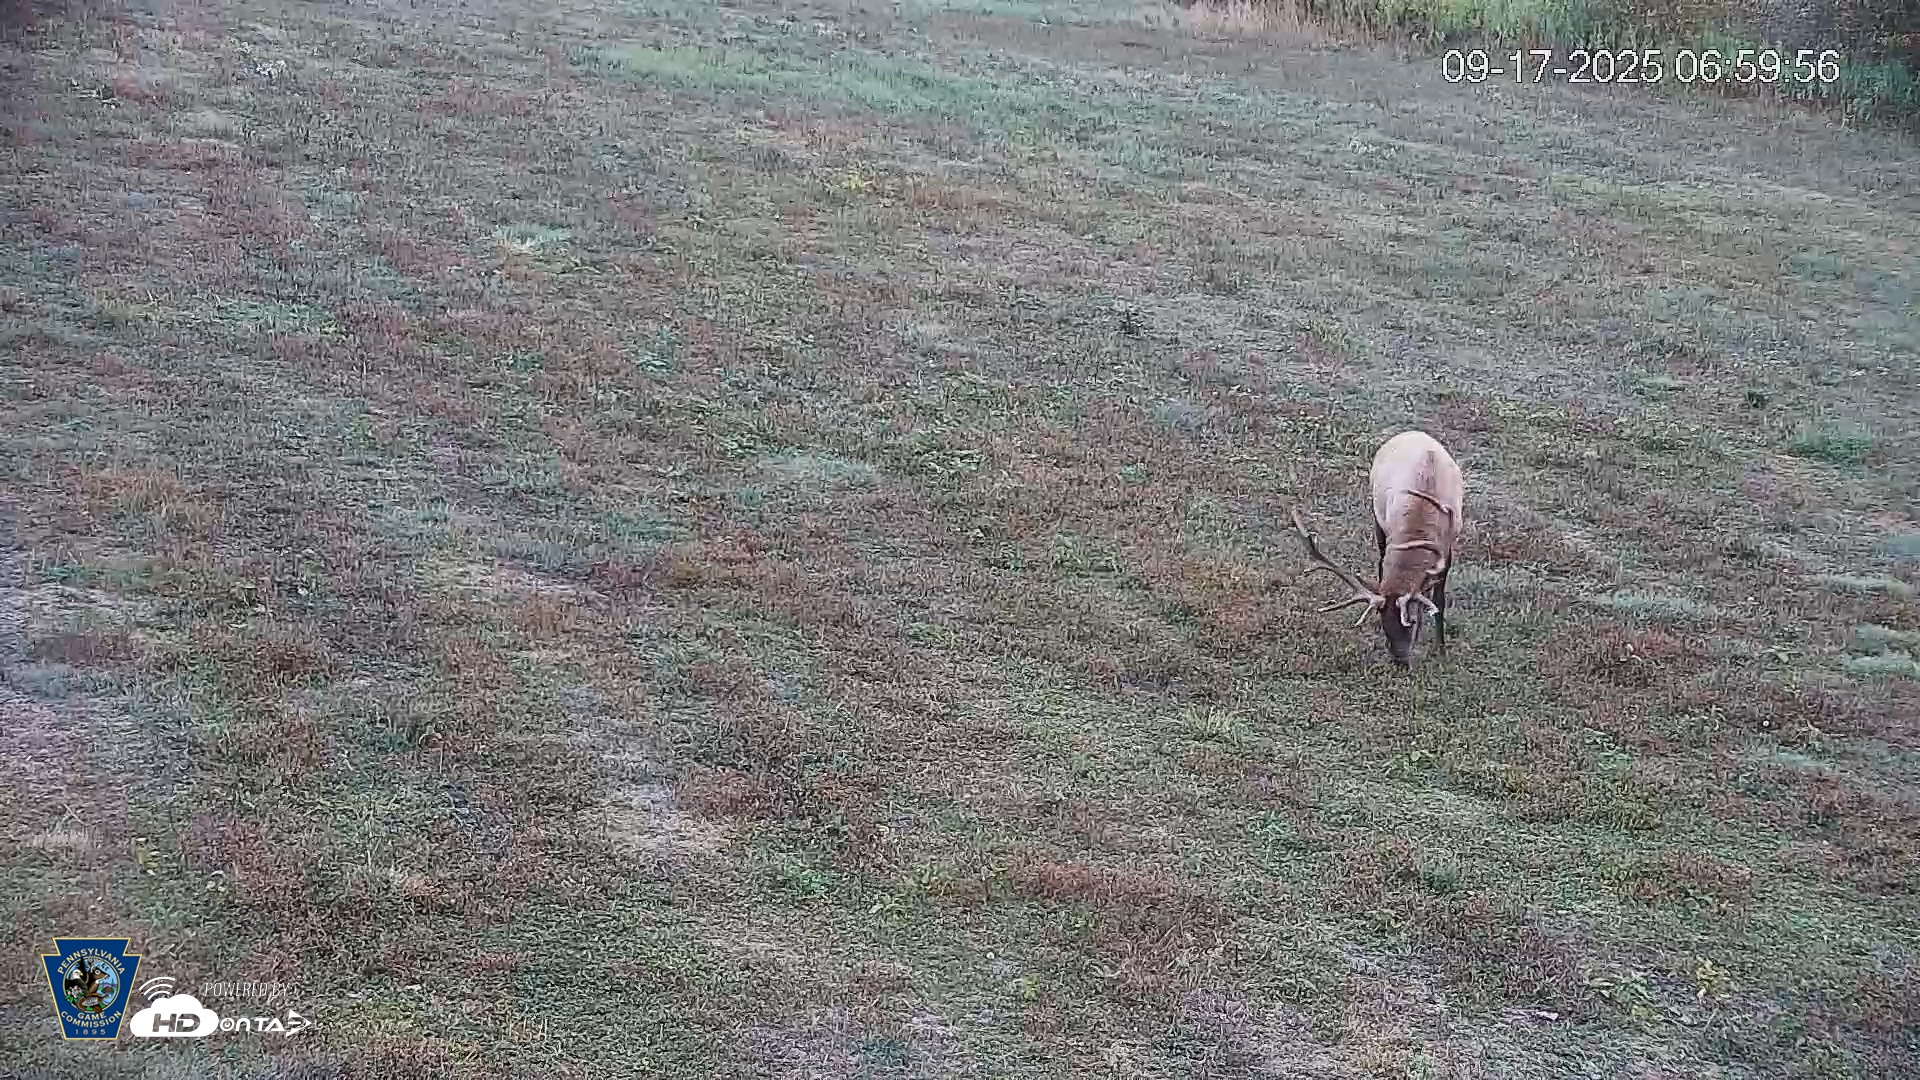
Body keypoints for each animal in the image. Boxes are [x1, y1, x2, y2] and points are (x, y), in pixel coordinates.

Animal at [1290, 430, 1464, 669]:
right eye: (1383, 624)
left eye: (1409, 623)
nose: (1400, 662)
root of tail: (1412, 432)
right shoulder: (1388, 530)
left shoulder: (1448, 545)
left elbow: (1438, 599)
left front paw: (1441, 650)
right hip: (1377, 516)